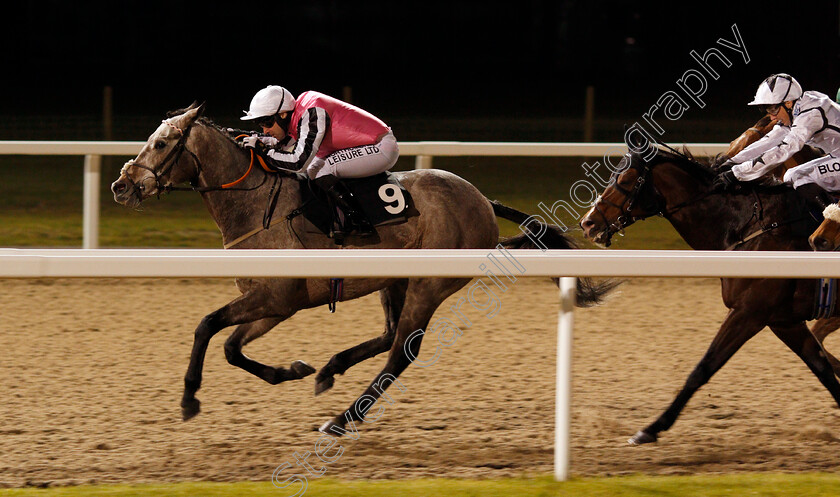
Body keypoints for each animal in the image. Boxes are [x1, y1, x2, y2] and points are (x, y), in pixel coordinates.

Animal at [110, 102, 612, 436]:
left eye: (161, 143)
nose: (120, 186)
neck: (254, 205)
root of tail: (482, 201)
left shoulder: (276, 297)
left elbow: (206, 324)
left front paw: (189, 397)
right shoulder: (275, 304)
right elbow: (233, 347)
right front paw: (293, 370)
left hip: (430, 285)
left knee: (403, 351)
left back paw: (342, 417)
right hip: (394, 279)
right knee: (390, 336)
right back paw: (330, 370)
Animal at [580, 148, 840, 446]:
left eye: (626, 178)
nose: (588, 223)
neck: (750, 228)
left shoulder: (748, 313)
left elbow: (703, 368)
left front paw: (651, 428)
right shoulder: (783, 321)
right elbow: (822, 368)